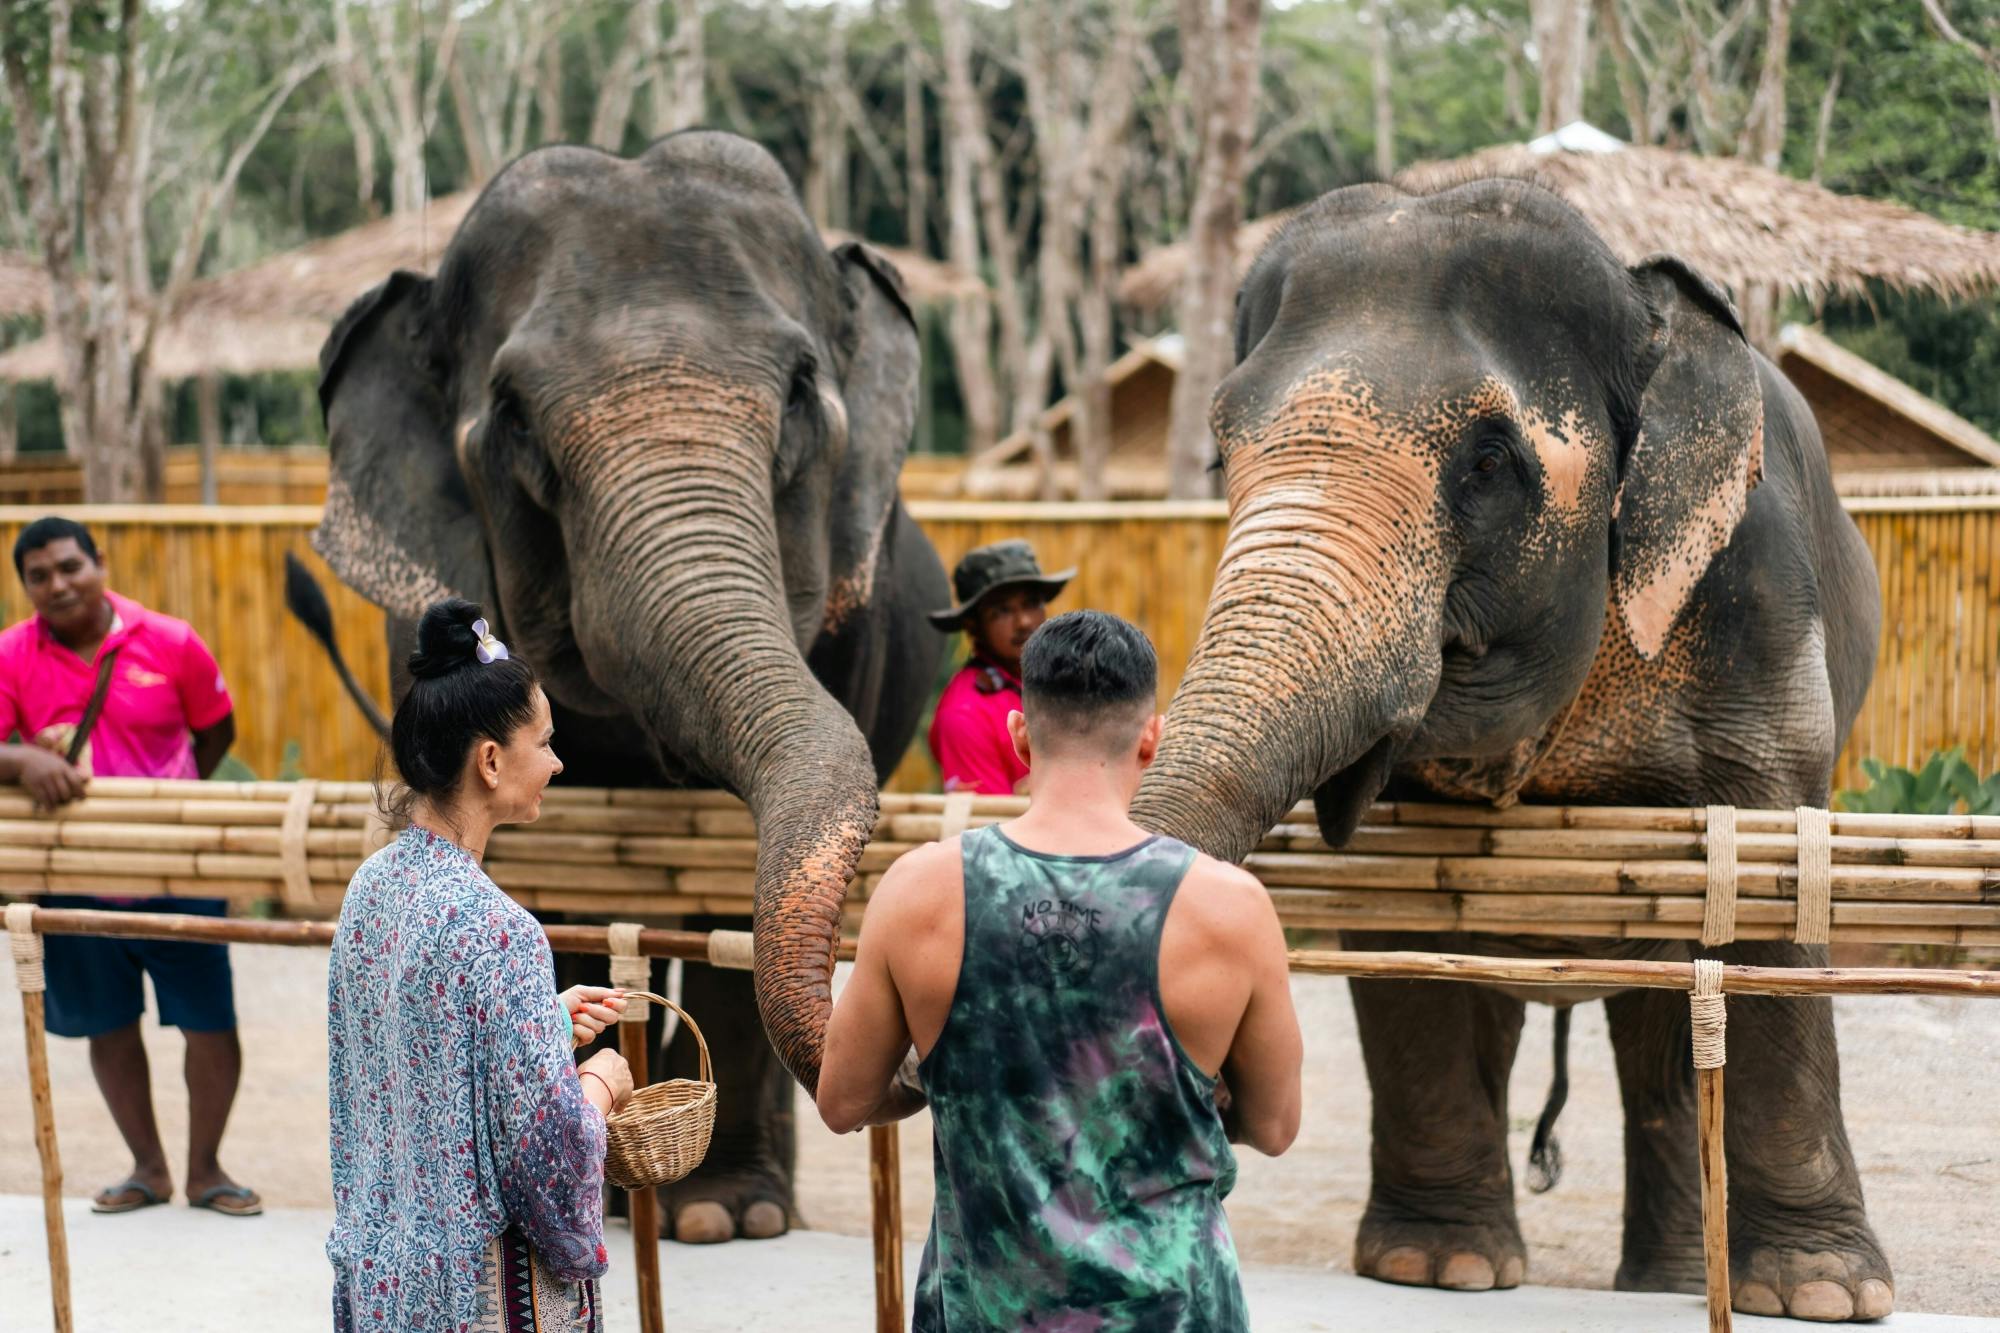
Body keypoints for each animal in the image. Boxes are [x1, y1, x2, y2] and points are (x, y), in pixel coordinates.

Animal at [302, 131, 949, 1244]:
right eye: (514, 419)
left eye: (800, 393)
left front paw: (726, 1216)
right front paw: (608, 1183)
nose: (908, 1063)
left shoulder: (854, 634)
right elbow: (552, 878)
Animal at [1129, 178, 1892, 1321]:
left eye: (1488, 463)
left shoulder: (1758, 611)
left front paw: (1823, 1294)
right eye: (1221, 450)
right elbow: (1399, 918)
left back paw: (1670, 1282)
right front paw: (1434, 1269)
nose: (1215, 1087)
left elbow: (1767, 897)